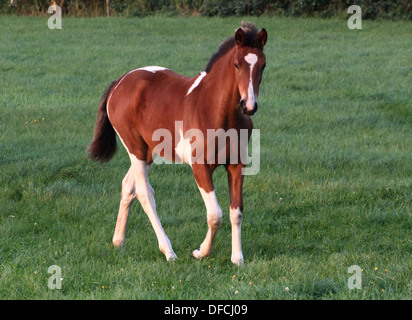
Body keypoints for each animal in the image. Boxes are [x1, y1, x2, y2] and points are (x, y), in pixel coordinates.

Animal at [88, 21, 268, 264]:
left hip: (149, 151)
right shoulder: (200, 167)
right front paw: (201, 252)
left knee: (128, 186)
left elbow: (236, 211)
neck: (216, 109)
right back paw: (168, 251)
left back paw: (118, 241)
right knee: (145, 194)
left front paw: (237, 259)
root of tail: (120, 82)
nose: (248, 106)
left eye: (263, 65)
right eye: (237, 64)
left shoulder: (236, 165)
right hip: (135, 148)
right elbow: (215, 214)